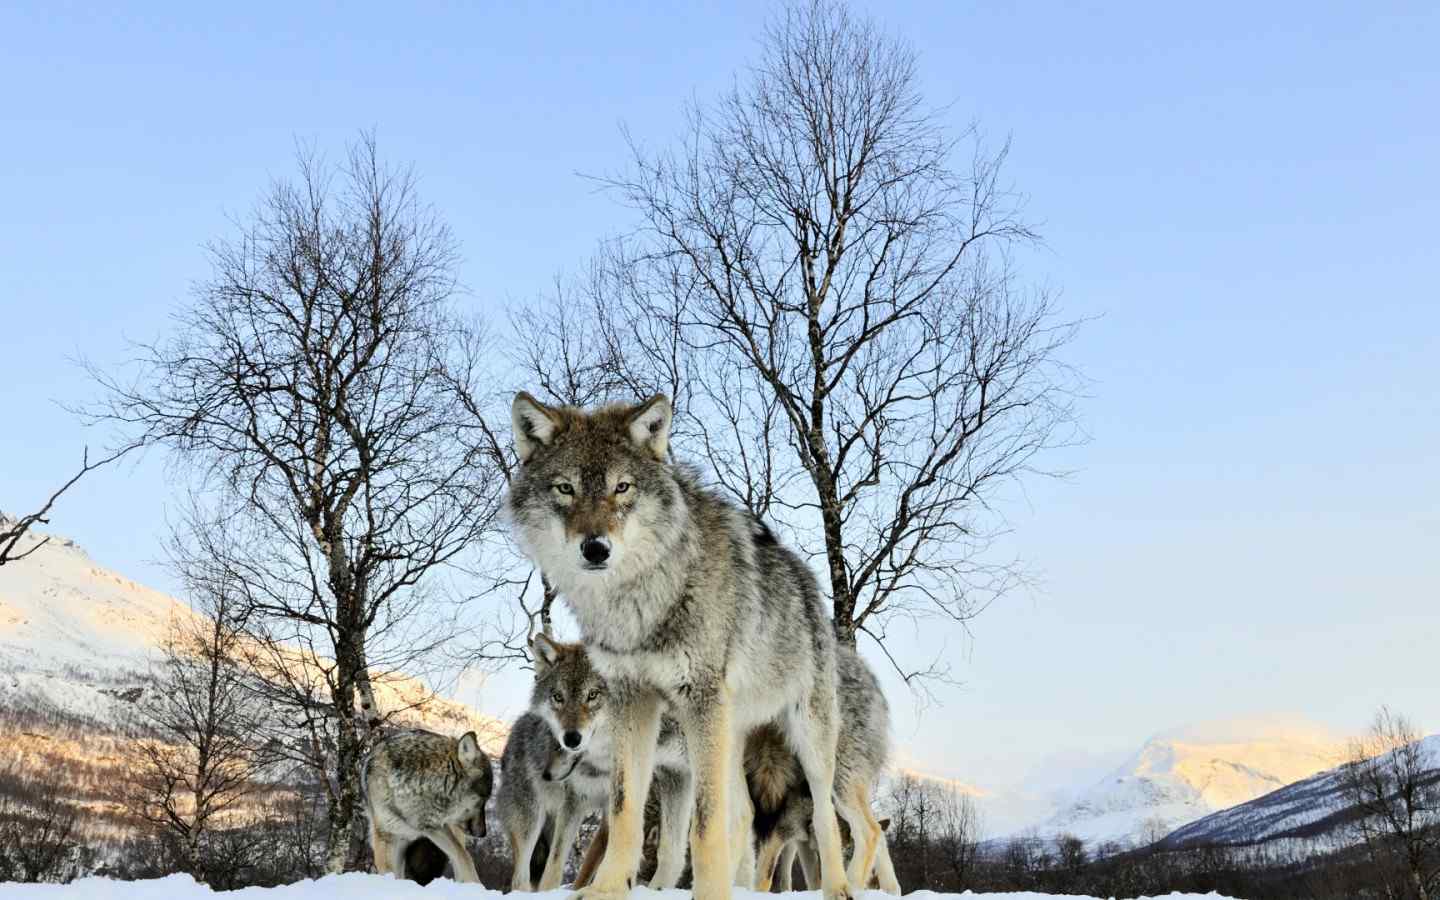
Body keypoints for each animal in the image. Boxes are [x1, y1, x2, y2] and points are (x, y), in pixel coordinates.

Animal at [498, 636, 694, 887]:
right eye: (558, 698)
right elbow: (556, 865)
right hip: (530, 821)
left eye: (592, 695)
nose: (546, 774)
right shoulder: (575, 802)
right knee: (520, 876)